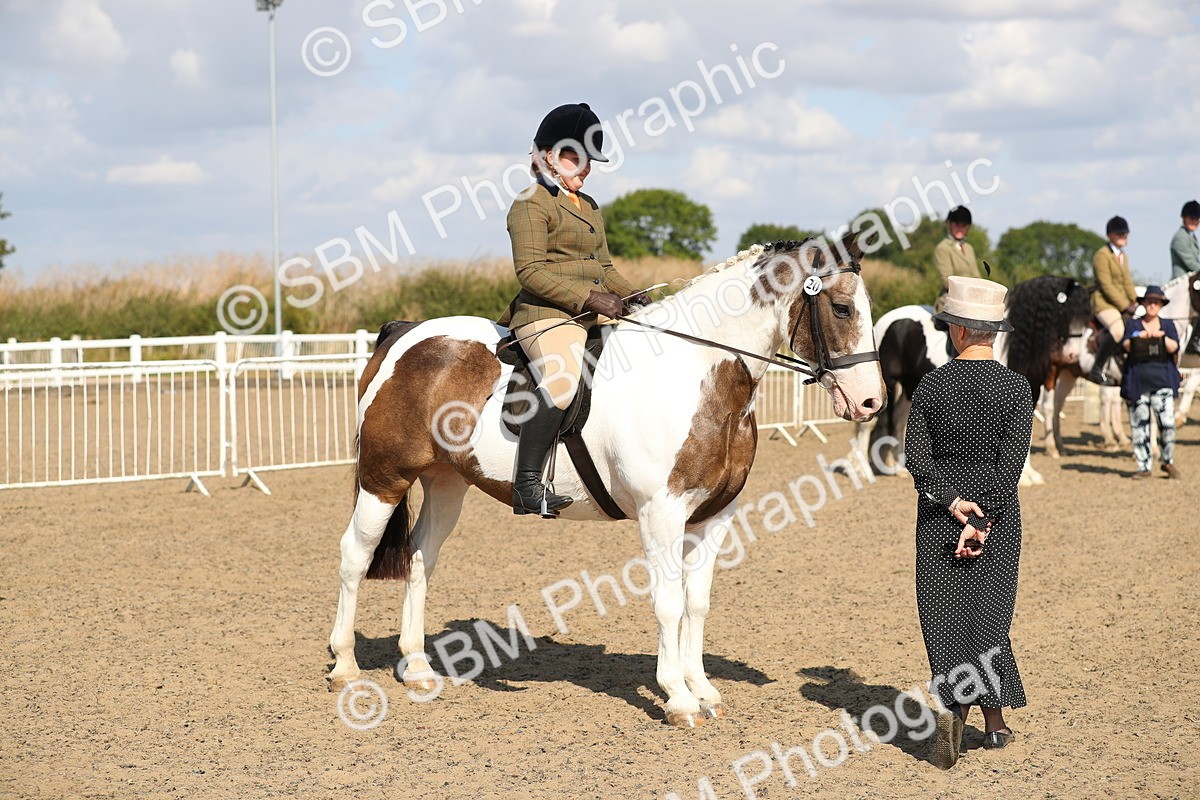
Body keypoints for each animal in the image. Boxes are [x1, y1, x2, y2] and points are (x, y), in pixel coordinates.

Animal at [327, 236, 886, 727]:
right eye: (841, 309)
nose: (870, 403)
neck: (695, 373)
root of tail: (405, 333)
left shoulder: (713, 516)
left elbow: (697, 601)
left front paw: (703, 689)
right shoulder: (661, 513)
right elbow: (668, 602)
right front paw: (678, 699)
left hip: (446, 482)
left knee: (422, 558)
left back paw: (418, 668)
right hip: (385, 479)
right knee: (356, 555)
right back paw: (345, 665)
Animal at [858, 275, 1090, 484]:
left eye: (1085, 315)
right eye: (1067, 311)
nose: (1072, 356)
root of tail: (885, 321)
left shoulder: (1029, 394)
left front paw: (1029, 475)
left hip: (910, 386)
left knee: (898, 420)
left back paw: (900, 468)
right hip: (887, 383)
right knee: (876, 424)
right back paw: (872, 470)